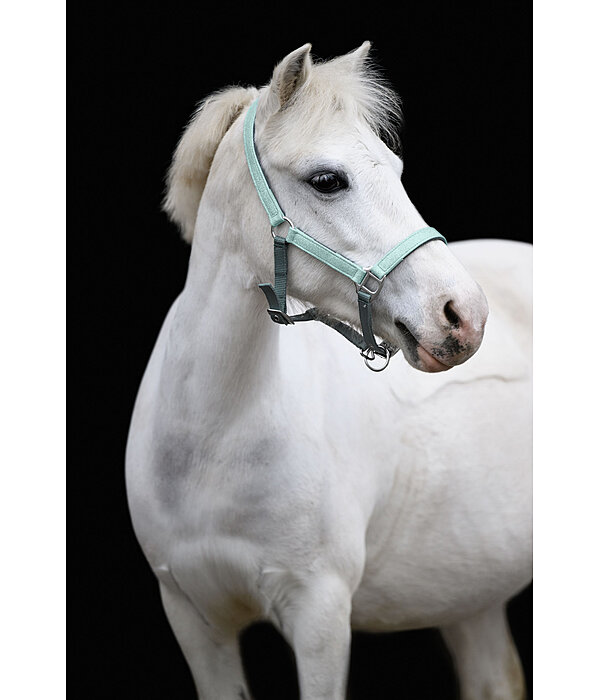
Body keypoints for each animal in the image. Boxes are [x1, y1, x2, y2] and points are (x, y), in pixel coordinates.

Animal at [126, 42, 532, 699]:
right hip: (472, 597)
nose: (463, 315)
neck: (214, 441)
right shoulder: (194, 620)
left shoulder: (320, 618)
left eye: (395, 169)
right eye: (327, 180)